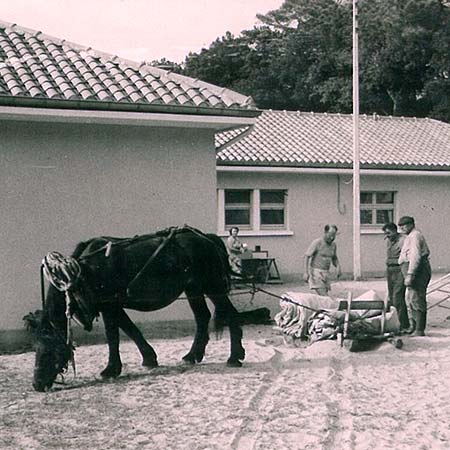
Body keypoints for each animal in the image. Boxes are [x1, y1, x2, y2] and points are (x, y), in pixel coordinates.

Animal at [27, 227, 246, 392]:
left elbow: (113, 335)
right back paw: (192, 355)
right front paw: (149, 358)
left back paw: (235, 357)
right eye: (35, 346)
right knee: (202, 317)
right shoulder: (114, 306)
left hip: (213, 286)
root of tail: (207, 238)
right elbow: (130, 329)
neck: (85, 271)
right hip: (194, 288)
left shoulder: (110, 306)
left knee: (231, 315)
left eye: (48, 346)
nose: (37, 384)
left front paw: (111, 369)